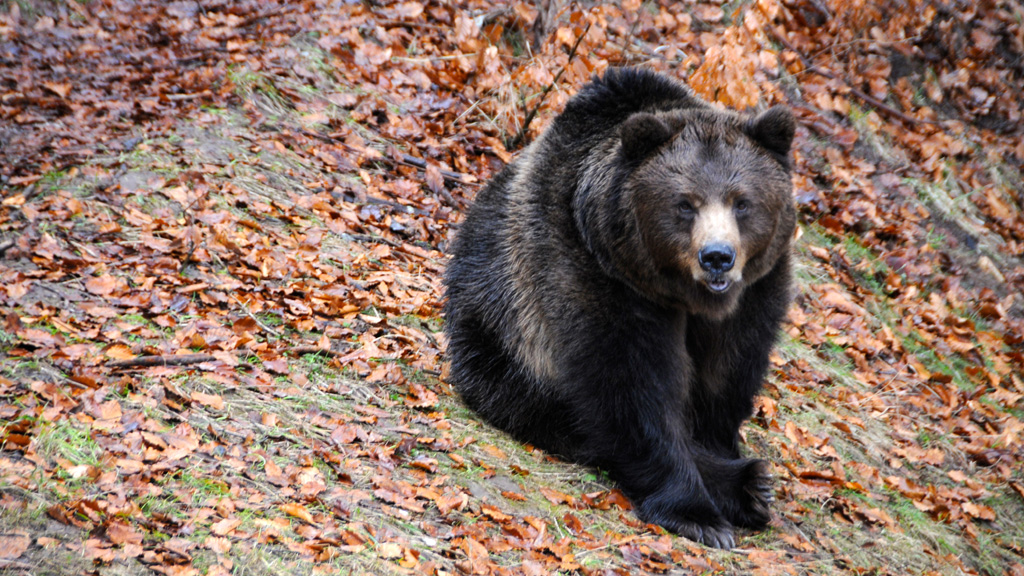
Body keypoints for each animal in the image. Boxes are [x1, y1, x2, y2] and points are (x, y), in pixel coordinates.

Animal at [444, 68, 794, 545]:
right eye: (685, 204)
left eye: (742, 202)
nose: (717, 256)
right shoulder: (596, 275)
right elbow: (631, 388)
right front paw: (699, 513)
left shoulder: (755, 294)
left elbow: (728, 375)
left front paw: (727, 461)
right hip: (500, 336)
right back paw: (747, 484)